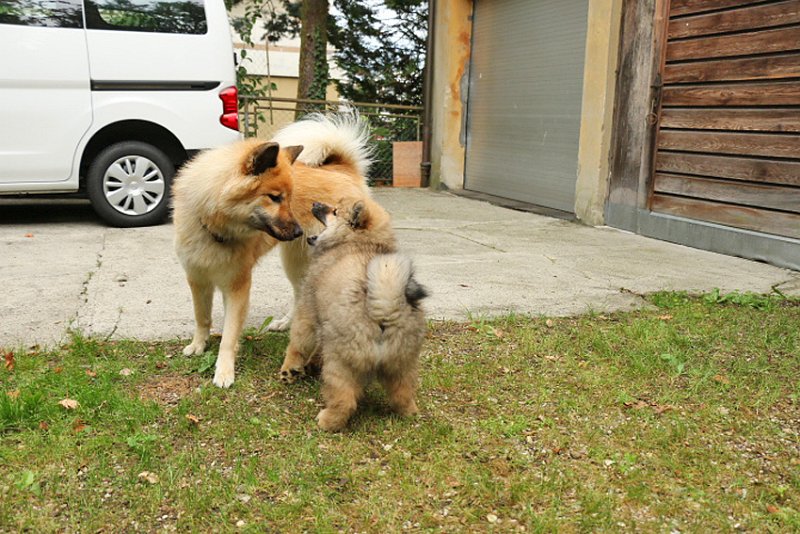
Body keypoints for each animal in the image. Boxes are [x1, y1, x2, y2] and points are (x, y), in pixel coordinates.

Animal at [173, 113, 372, 390]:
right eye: (275, 197)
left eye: (289, 197)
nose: (299, 231)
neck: (212, 226)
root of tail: (342, 169)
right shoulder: (197, 279)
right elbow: (202, 317)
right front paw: (198, 345)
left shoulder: (237, 286)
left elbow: (229, 336)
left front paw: (224, 371)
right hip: (295, 263)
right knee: (300, 295)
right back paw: (286, 323)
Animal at [282, 199, 432, 434]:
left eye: (334, 211)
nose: (315, 203)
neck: (357, 240)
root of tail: (385, 308)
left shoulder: (307, 310)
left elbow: (298, 343)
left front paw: (289, 369)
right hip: (402, 363)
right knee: (403, 394)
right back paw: (408, 413)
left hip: (341, 362)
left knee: (344, 400)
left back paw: (327, 420)